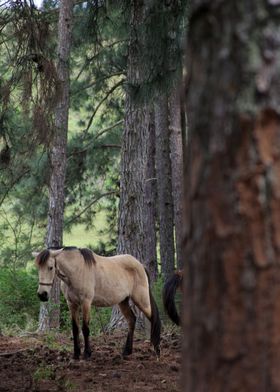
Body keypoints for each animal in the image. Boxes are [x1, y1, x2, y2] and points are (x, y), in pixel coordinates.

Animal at [33, 247, 161, 360]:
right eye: (38, 268)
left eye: (50, 267)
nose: (42, 294)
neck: (77, 271)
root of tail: (140, 265)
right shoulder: (72, 304)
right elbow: (75, 329)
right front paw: (76, 354)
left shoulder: (86, 303)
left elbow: (85, 328)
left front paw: (87, 353)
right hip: (123, 301)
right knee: (131, 320)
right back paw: (127, 351)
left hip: (142, 300)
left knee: (153, 318)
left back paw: (157, 350)